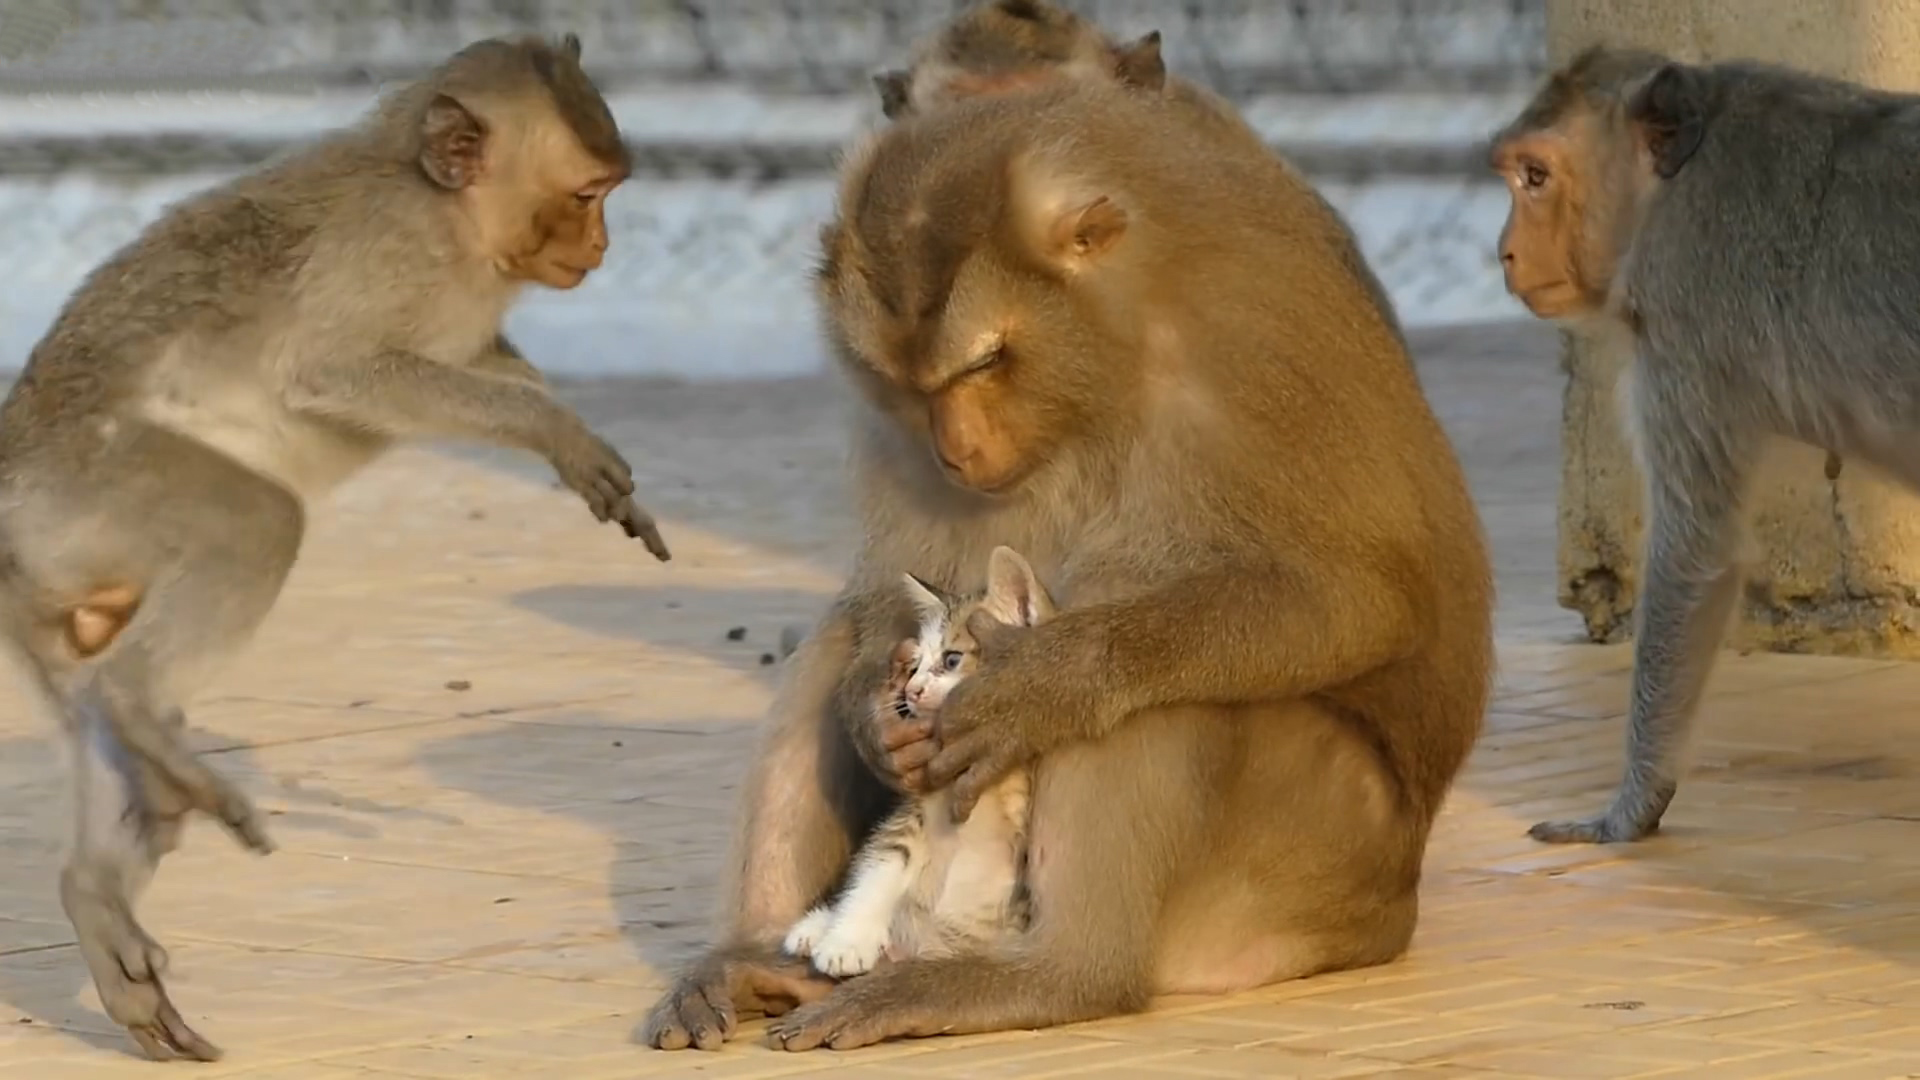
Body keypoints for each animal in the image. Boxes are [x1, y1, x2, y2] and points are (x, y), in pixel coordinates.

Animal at [0, 33, 668, 1060]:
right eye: (590, 194)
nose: (601, 248)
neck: (447, 214)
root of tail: (9, 481)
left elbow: (489, 362)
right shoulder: (390, 250)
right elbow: (336, 371)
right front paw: (556, 433)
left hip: (57, 590)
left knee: (103, 725)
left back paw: (100, 886)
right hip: (89, 491)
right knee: (259, 520)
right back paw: (143, 714)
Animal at [775, 541, 1052, 972]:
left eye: (952, 659)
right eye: (915, 665)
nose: (912, 691)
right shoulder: (915, 810)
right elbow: (879, 870)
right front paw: (847, 941)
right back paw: (819, 927)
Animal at [1482, 46, 1920, 841]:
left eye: (1535, 177)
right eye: (1515, 174)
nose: (1504, 252)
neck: (1667, 188)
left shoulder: (1683, 323)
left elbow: (1696, 549)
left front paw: (1632, 805)